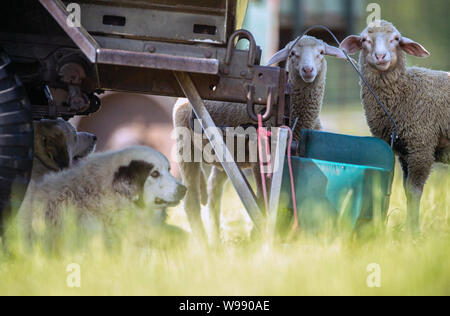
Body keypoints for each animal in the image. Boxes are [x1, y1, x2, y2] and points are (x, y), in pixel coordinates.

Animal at [174, 35, 346, 242]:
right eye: (293, 53)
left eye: (321, 52)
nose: (307, 70)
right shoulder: (260, 159)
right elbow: (263, 199)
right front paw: (259, 235)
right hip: (185, 148)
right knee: (191, 201)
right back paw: (204, 243)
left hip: (225, 153)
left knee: (213, 190)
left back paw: (216, 239)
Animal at [342, 19, 450, 232]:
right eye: (365, 40)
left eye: (396, 39)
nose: (380, 56)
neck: (404, 91)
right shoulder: (406, 152)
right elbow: (407, 191)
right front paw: (410, 227)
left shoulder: (421, 146)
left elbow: (414, 191)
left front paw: (413, 231)